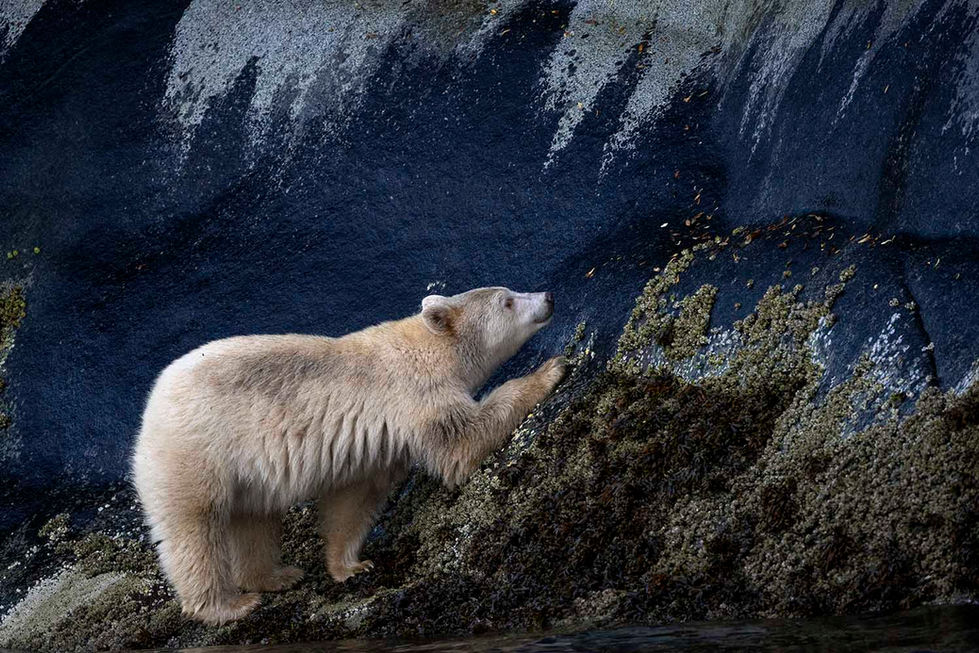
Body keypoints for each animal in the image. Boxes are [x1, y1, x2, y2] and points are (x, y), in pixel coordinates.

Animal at [131, 286, 565, 624]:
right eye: (507, 300)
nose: (548, 296)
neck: (428, 346)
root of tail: (151, 405)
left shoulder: (382, 439)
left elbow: (355, 498)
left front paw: (350, 566)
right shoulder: (416, 394)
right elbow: (460, 443)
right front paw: (549, 371)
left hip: (242, 470)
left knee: (254, 518)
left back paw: (277, 576)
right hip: (196, 451)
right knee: (196, 529)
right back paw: (228, 604)